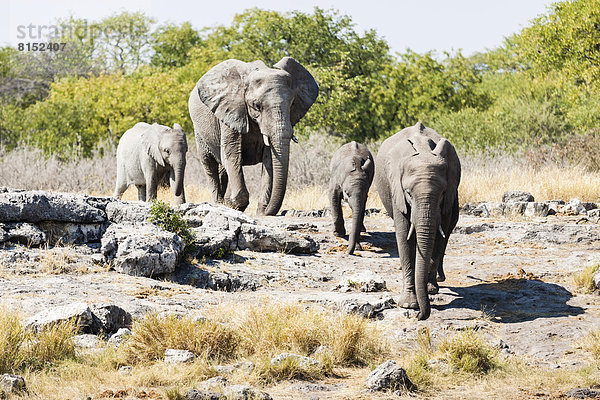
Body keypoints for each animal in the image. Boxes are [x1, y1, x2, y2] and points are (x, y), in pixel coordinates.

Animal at [189, 56, 318, 216]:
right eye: (256, 106)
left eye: (292, 104)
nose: (270, 212)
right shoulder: (231, 110)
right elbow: (232, 154)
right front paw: (234, 205)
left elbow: (269, 159)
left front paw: (261, 212)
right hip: (199, 131)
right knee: (209, 163)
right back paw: (218, 204)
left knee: (222, 169)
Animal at [376, 121, 464, 318]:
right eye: (409, 193)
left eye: (442, 194)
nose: (419, 316)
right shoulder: (397, 192)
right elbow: (404, 237)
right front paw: (409, 305)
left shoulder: (448, 197)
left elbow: (439, 236)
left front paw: (429, 291)